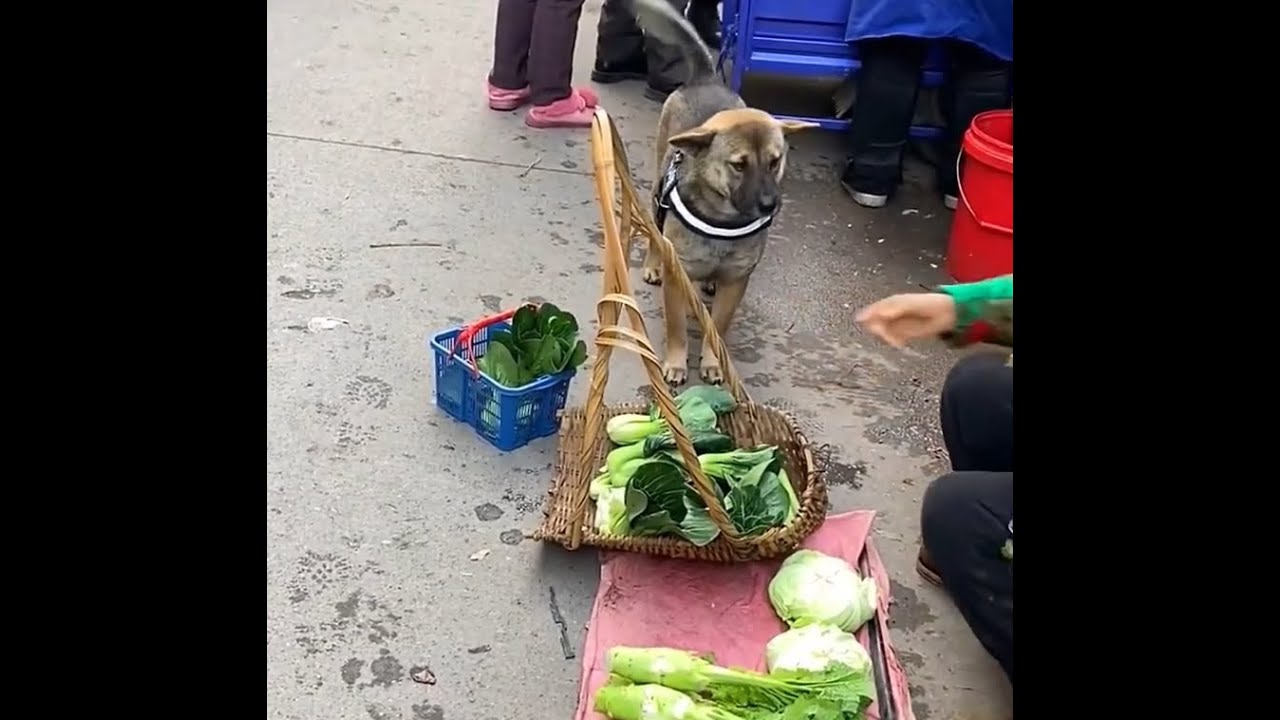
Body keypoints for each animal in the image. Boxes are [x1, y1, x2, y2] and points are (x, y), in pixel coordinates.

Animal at [624, 0, 814, 384]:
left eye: (775, 161)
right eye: (738, 165)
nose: (770, 204)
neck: (723, 222)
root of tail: (707, 78)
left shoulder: (736, 282)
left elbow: (718, 326)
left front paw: (712, 361)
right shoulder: (678, 280)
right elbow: (677, 327)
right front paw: (677, 363)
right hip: (656, 192)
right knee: (655, 232)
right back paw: (653, 264)